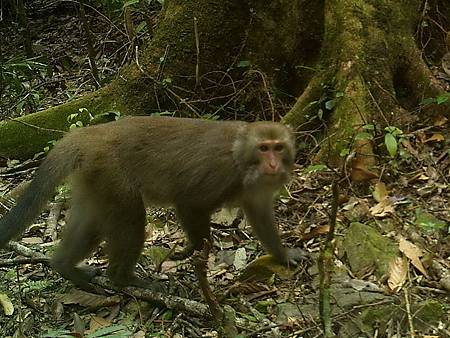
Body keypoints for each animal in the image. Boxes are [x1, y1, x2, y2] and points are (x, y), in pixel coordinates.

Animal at [0, 115, 306, 290]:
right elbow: (188, 203)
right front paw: (196, 249)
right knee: (132, 221)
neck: (242, 158)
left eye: (278, 147)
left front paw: (284, 255)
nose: (273, 164)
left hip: (94, 175)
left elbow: (259, 214)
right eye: (264, 148)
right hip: (111, 172)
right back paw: (121, 278)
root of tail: (90, 134)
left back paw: (64, 267)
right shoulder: (220, 173)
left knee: (94, 222)